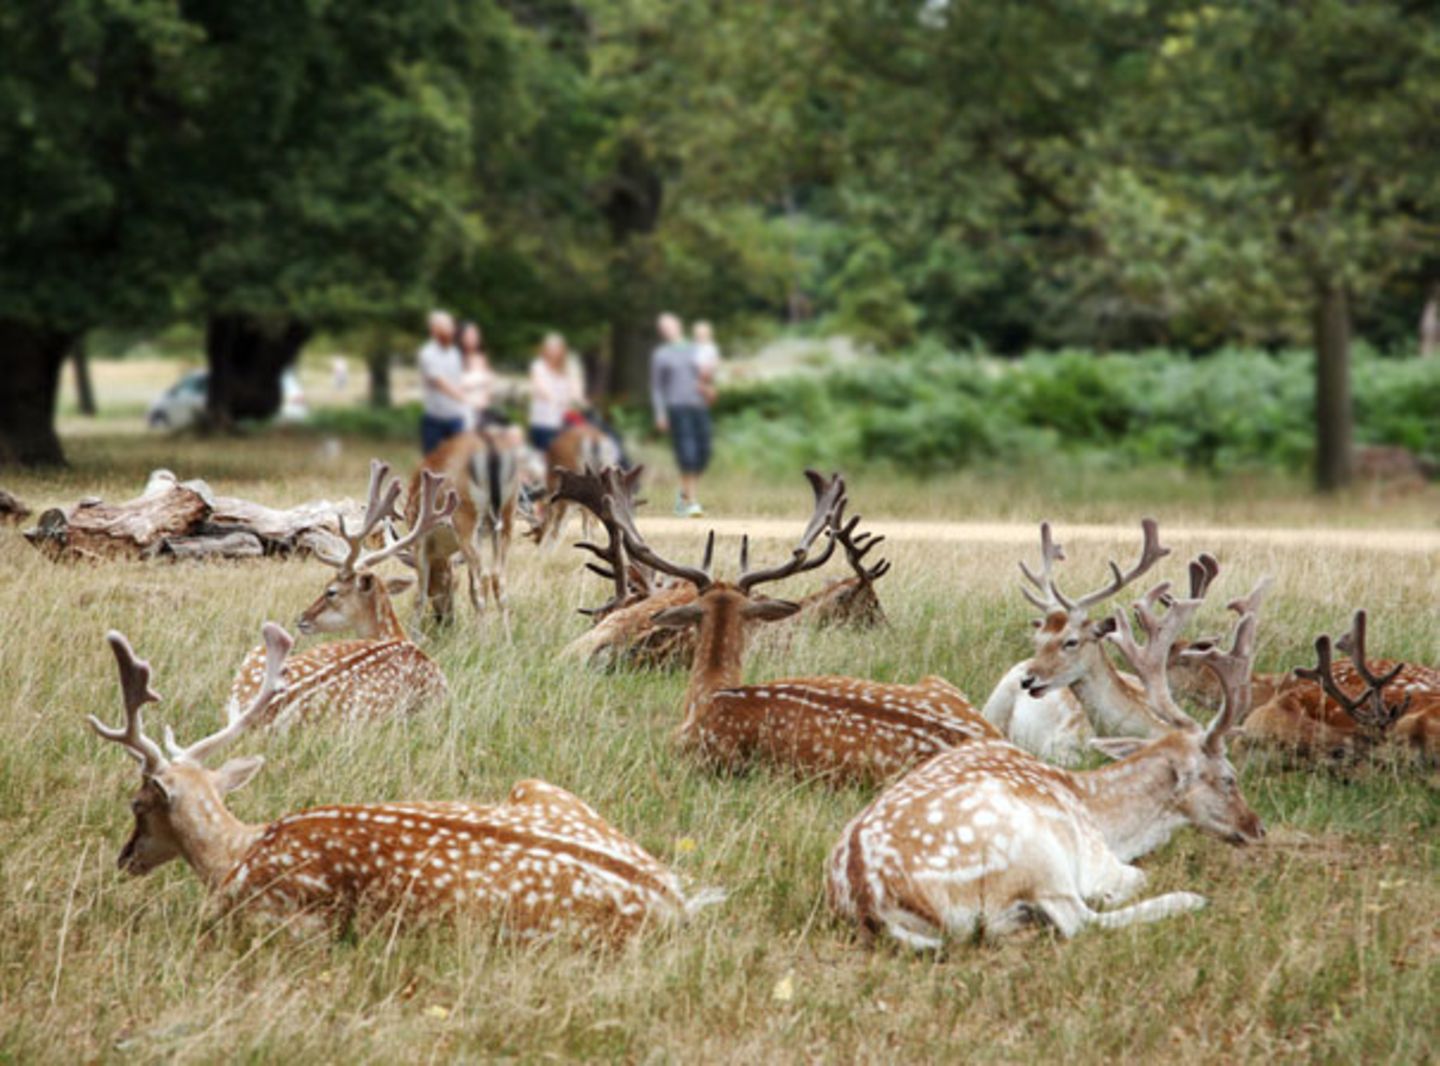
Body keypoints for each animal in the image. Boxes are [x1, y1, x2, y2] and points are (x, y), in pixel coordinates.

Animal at [88, 625, 708, 939]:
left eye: (138, 802)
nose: (124, 859)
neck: (234, 855)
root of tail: (674, 899)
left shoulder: (279, 920)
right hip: (539, 786)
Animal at [829, 581, 1267, 950]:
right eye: (1229, 778)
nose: (1257, 828)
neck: (1105, 817)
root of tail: (871, 902)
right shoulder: (1096, 860)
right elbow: (1130, 880)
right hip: (1035, 853)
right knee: (1079, 921)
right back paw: (1187, 899)